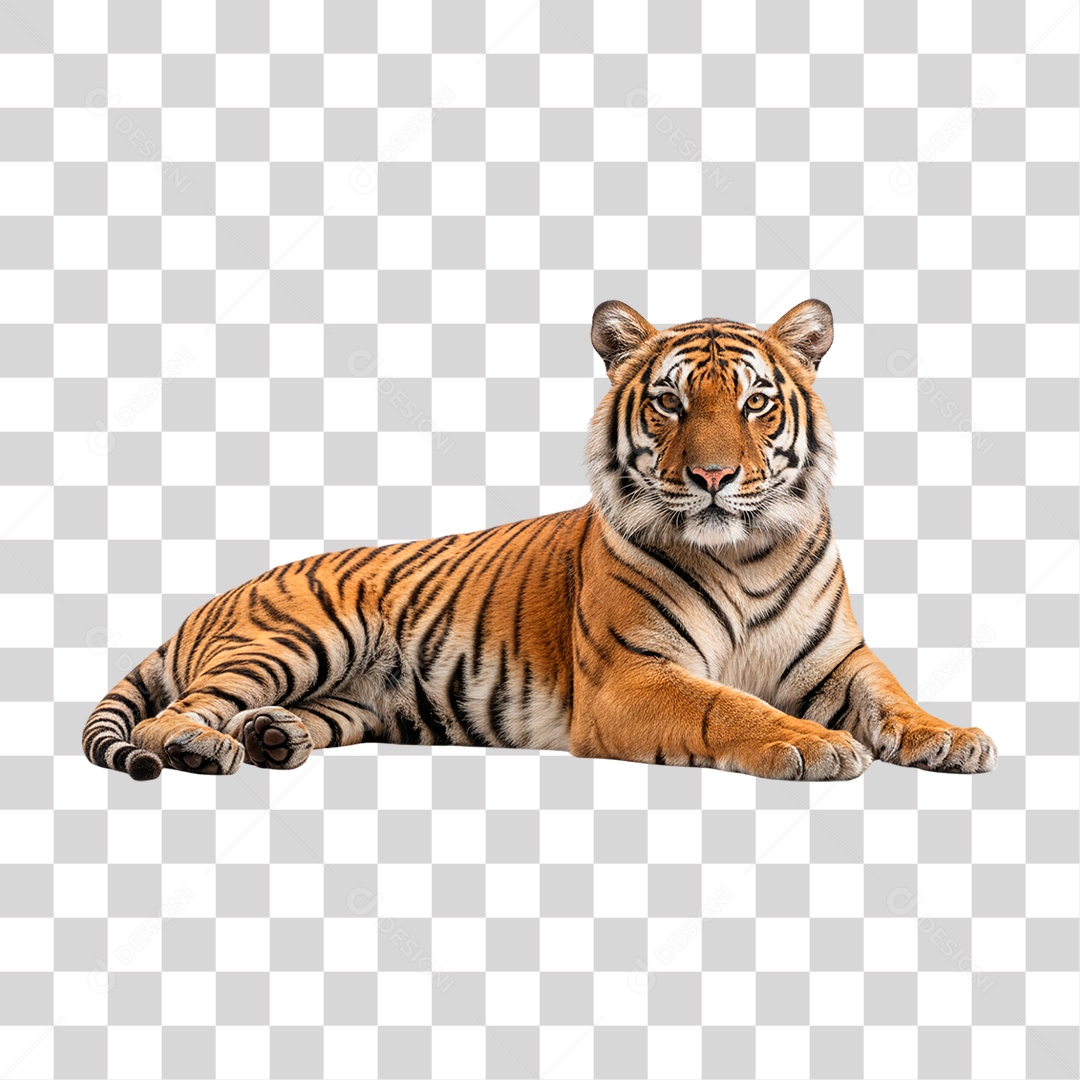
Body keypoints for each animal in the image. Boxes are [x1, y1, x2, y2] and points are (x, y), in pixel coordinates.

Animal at [83, 298, 997, 782]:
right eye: (669, 404)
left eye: (755, 404)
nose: (712, 477)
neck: (746, 555)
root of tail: (210, 600)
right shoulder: (632, 676)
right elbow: (726, 705)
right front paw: (813, 743)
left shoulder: (839, 660)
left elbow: (892, 697)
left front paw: (953, 736)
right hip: (295, 636)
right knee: (176, 714)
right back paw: (205, 745)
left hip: (349, 698)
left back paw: (276, 736)